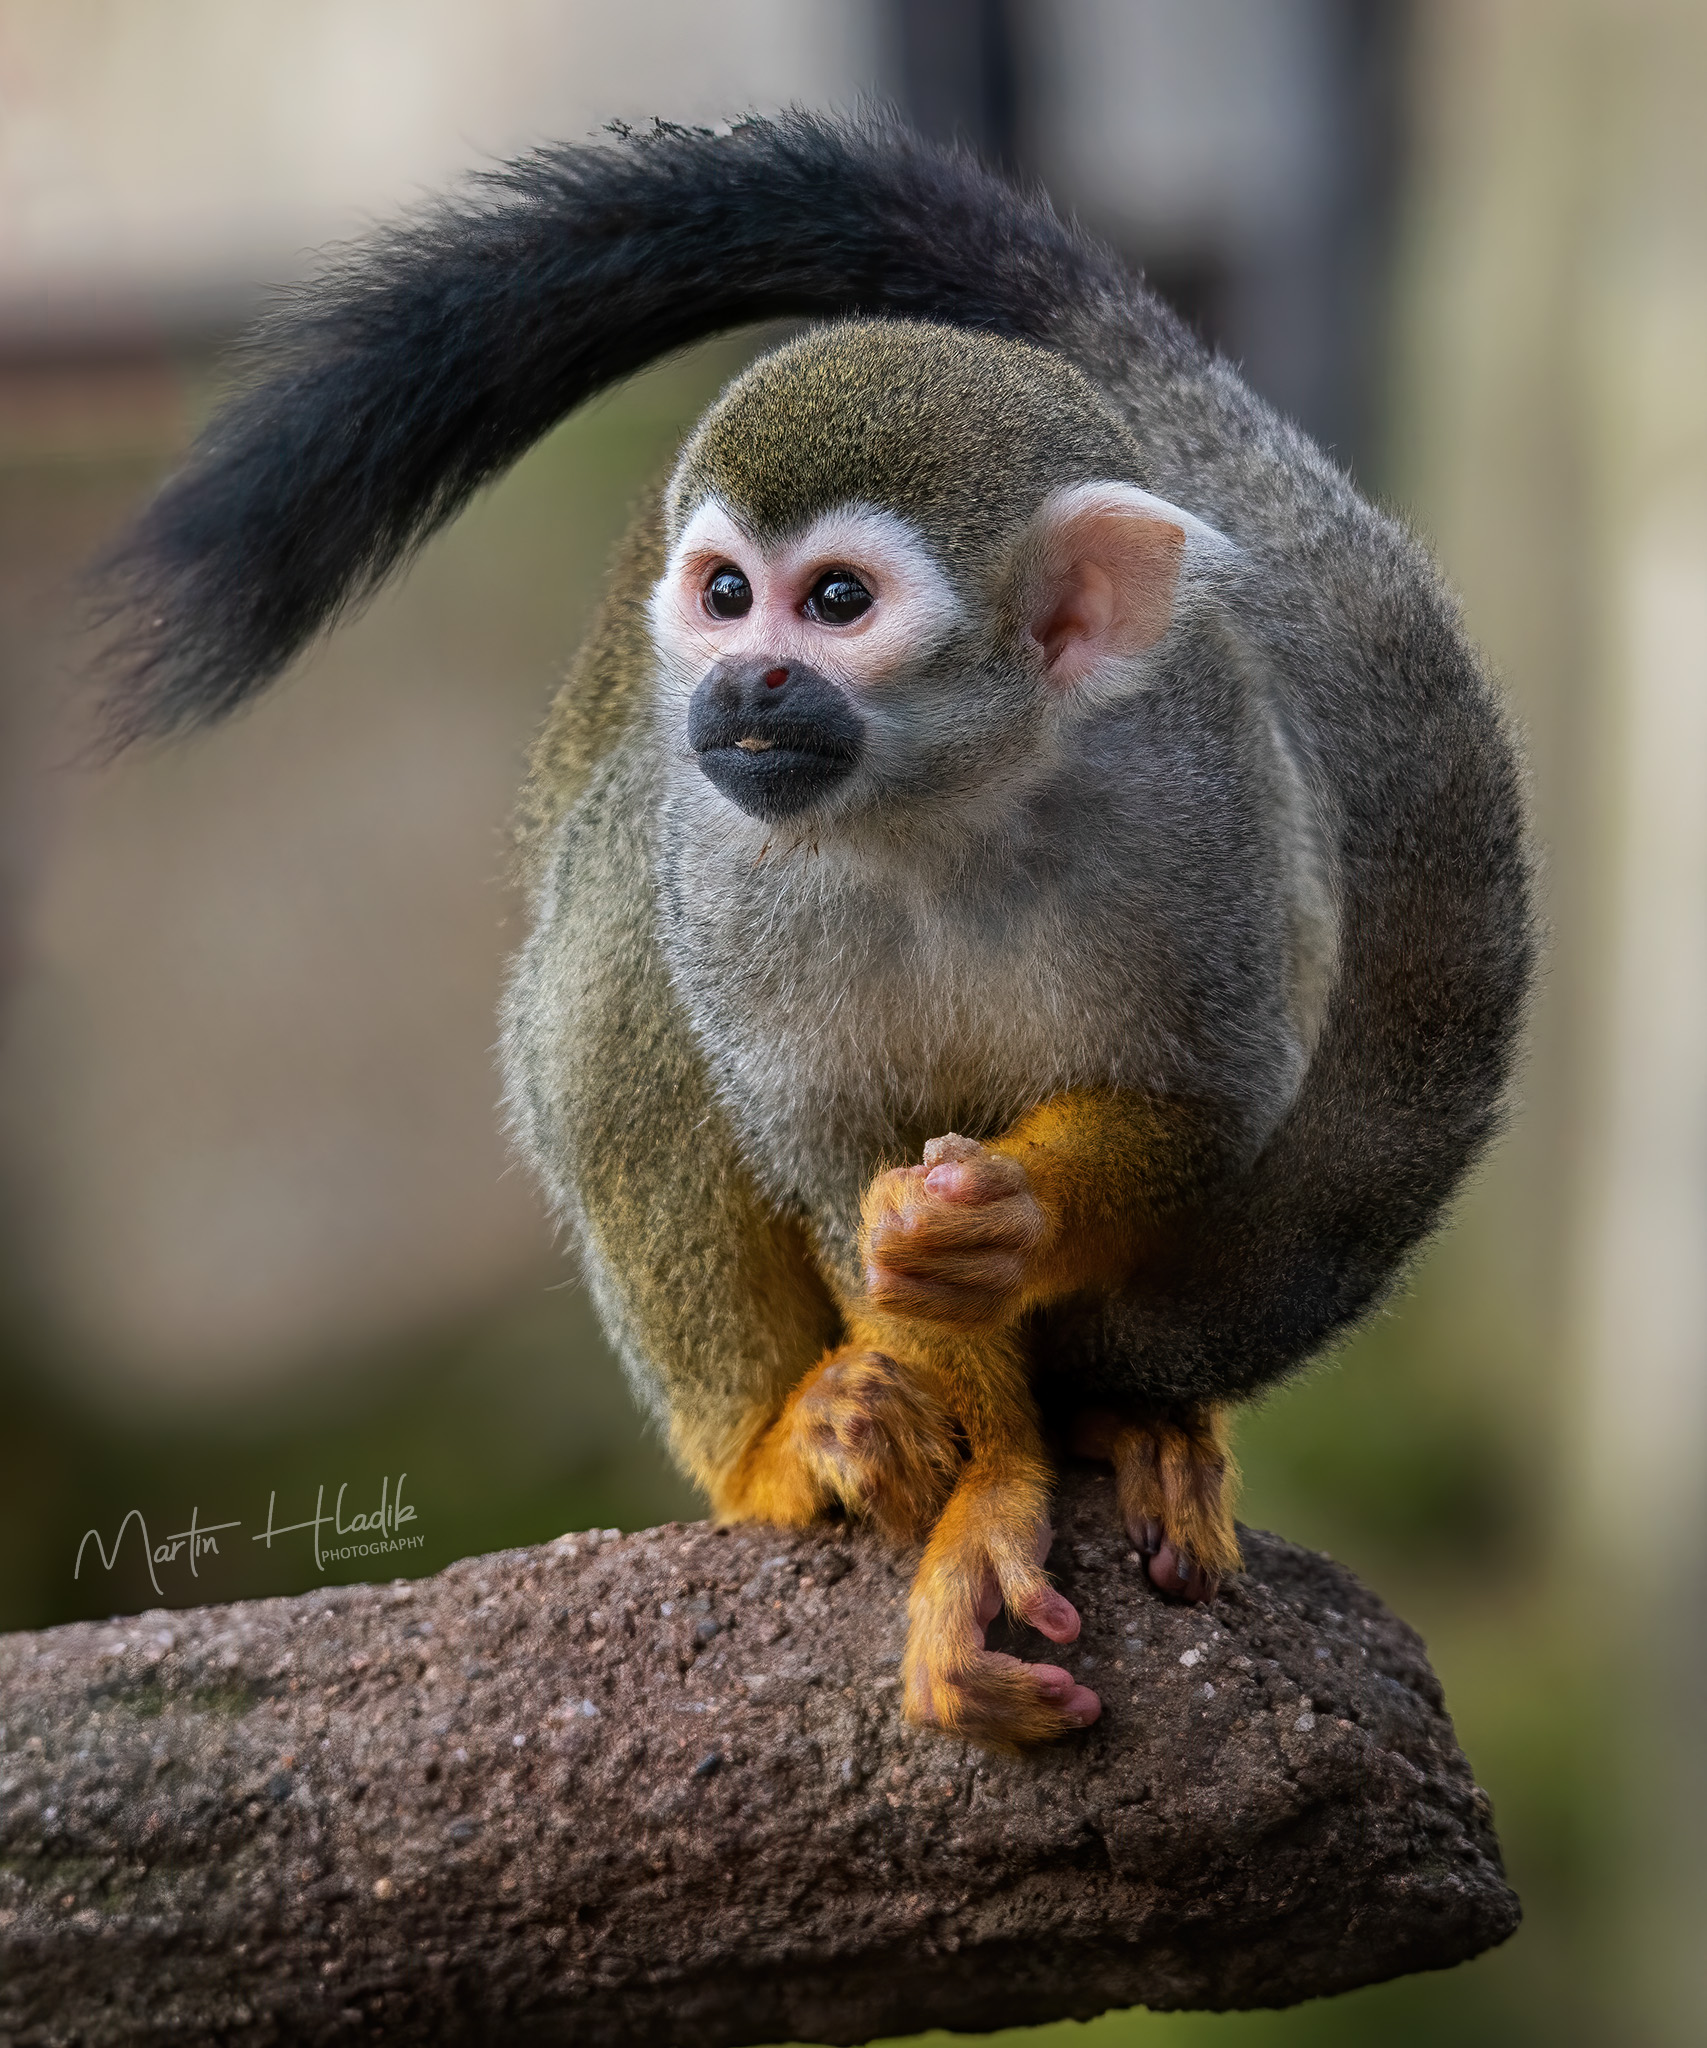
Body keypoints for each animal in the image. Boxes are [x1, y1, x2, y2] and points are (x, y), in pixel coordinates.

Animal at [91, 113, 1534, 1748]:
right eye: (728, 596)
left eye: (836, 601)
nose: (744, 686)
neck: (941, 813)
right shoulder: (731, 868)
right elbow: (825, 1145)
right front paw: (991, 1487)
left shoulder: (1195, 792)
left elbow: (1195, 1097)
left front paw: (1007, 1219)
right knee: (615, 933)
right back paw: (781, 1449)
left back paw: (1134, 1408)